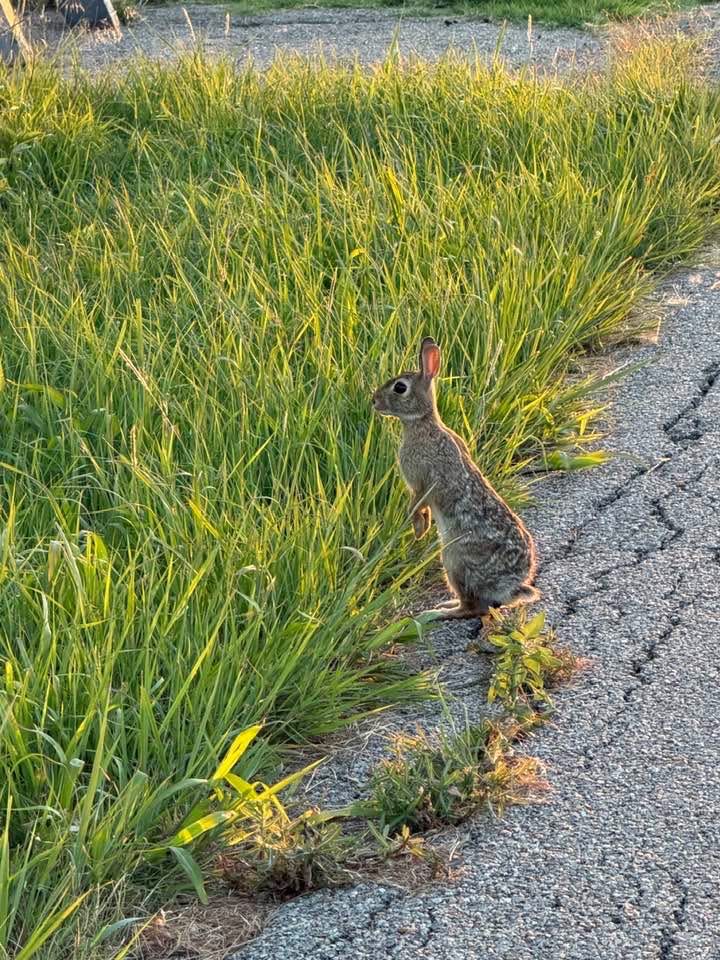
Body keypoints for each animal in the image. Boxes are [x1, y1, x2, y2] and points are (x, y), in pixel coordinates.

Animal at [372, 337, 539, 620]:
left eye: (400, 387)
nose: (374, 400)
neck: (422, 423)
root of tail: (510, 587)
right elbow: (424, 507)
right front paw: (423, 526)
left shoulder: (425, 482)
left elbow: (417, 502)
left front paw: (418, 527)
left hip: (454, 560)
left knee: (472, 607)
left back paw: (437, 612)